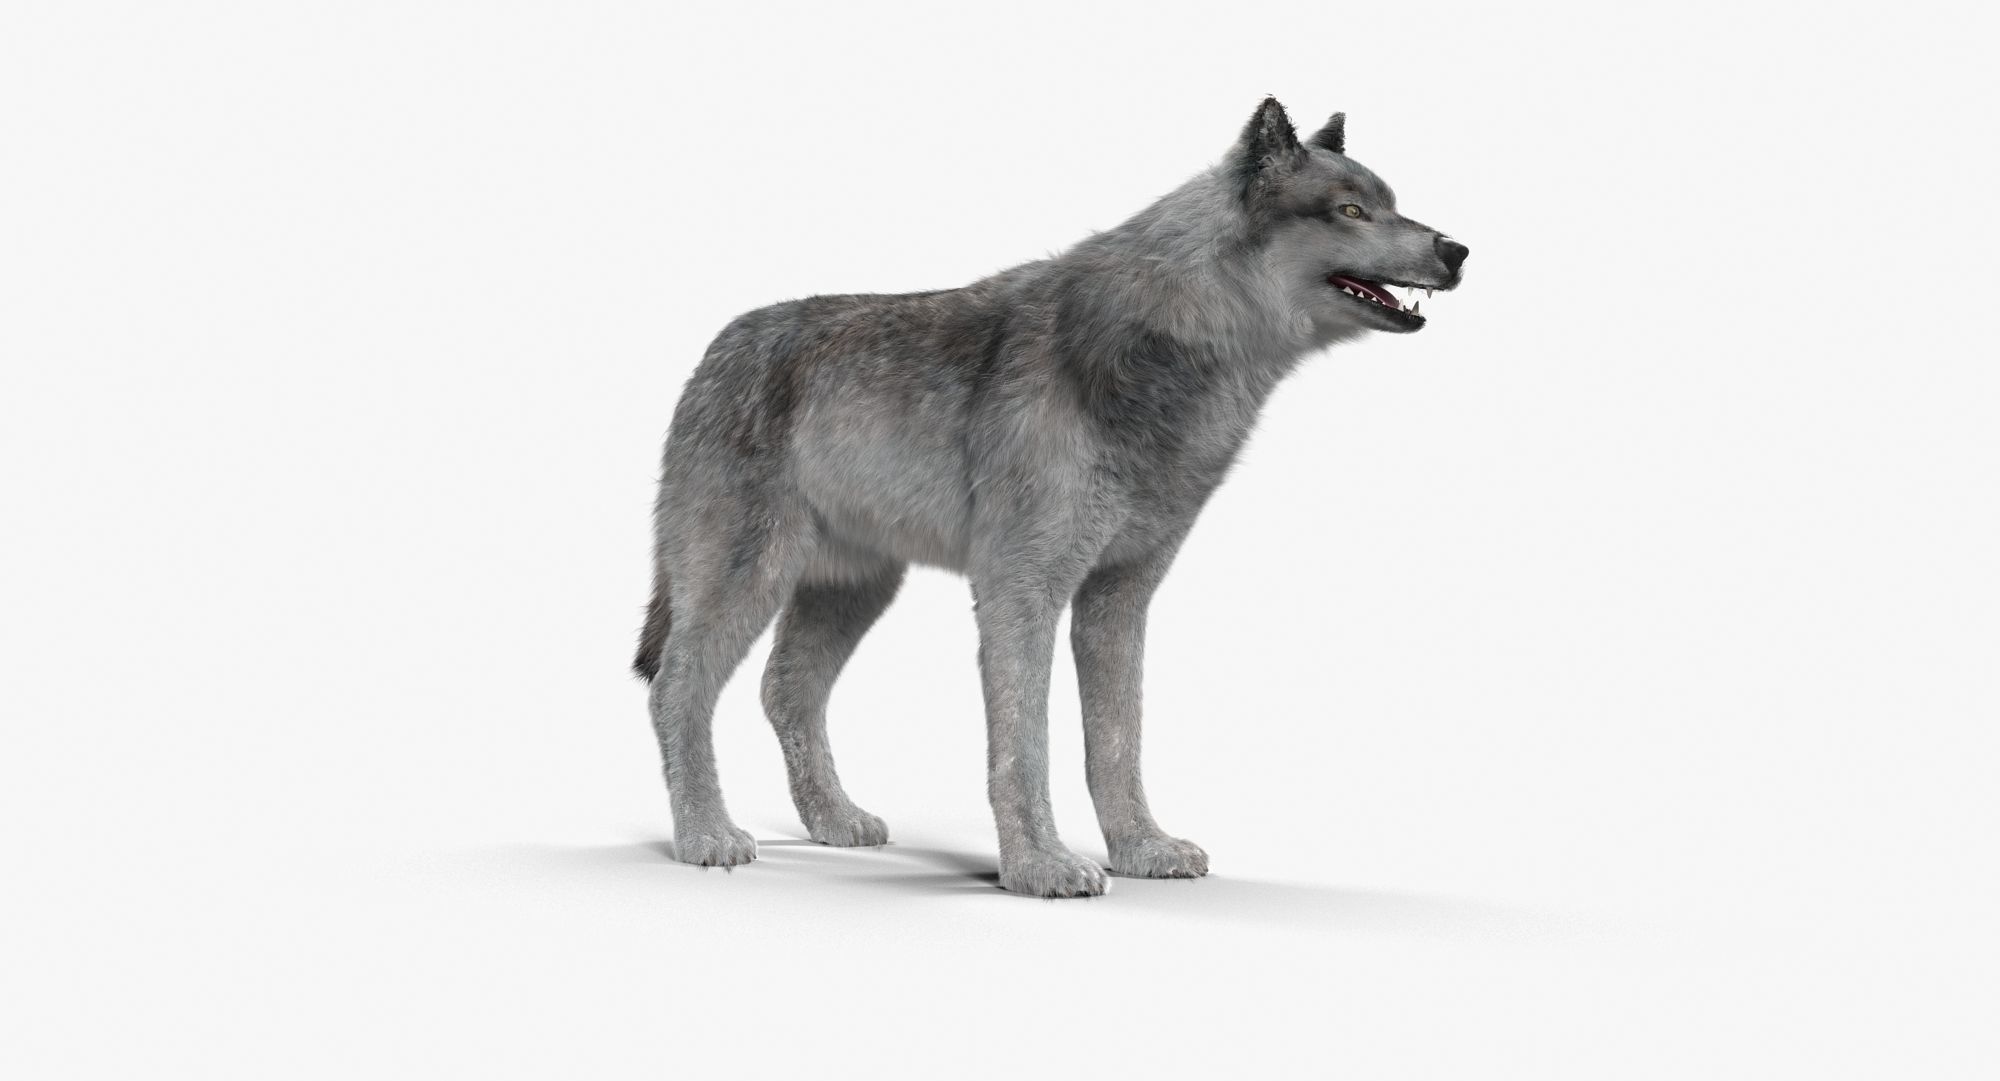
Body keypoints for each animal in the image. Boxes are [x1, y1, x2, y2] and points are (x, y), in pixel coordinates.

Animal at [633, 97, 1468, 897]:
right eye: (1350, 210)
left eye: (1392, 204)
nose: (1457, 250)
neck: (1174, 346)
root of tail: (719, 346)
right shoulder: (1020, 590)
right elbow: (1024, 747)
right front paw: (1039, 867)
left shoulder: (1119, 596)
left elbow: (1117, 741)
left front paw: (1141, 850)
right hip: (752, 578)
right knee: (677, 687)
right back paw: (705, 835)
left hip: (855, 589)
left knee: (785, 690)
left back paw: (836, 821)